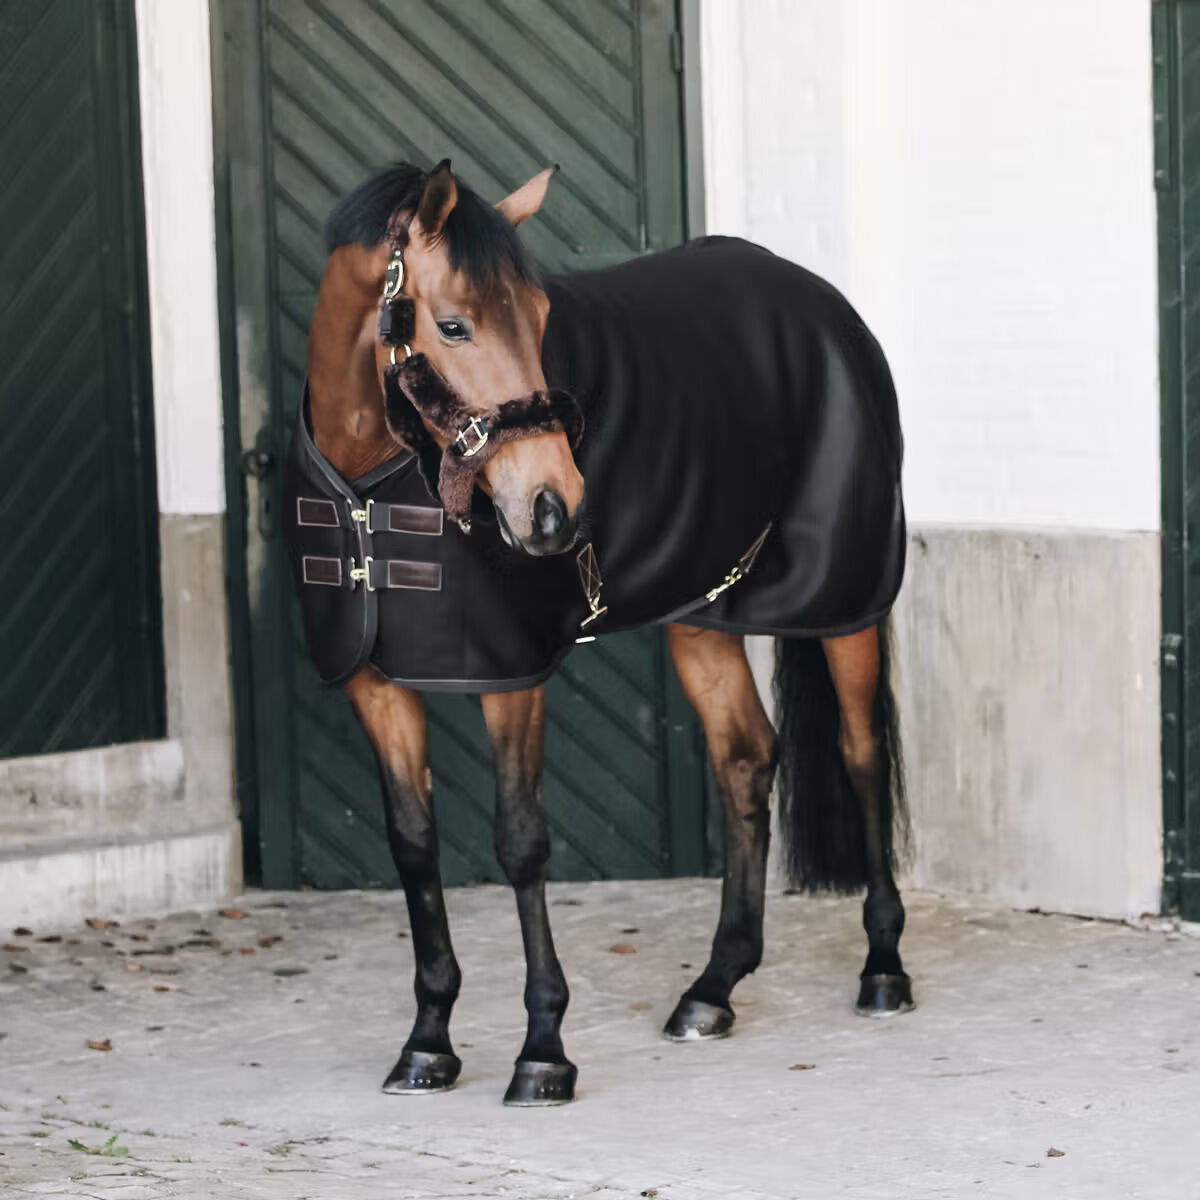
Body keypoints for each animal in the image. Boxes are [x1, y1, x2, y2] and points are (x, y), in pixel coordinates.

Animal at [285, 160, 911, 1106]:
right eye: (453, 323)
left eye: (544, 318)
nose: (556, 510)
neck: (370, 482)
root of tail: (823, 302)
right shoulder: (374, 684)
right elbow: (414, 847)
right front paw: (428, 1040)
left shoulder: (510, 680)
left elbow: (521, 843)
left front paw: (543, 1050)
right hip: (703, 615)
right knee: (744, 757)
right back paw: (712, 989)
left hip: (849, 601)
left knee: (861, 752)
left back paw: (883, 968)